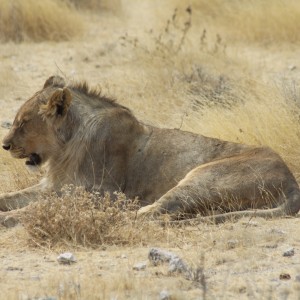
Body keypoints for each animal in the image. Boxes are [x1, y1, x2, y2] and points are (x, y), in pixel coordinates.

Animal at [0, 75, 300, 227]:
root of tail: (292, 181)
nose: (5, 145)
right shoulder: (53, 186)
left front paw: (11, 218)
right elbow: (13, 197)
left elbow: (40, 206)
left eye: (23, 122)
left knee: (154, 212)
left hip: (202, 178)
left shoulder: (102, 193)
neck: (65, 147)